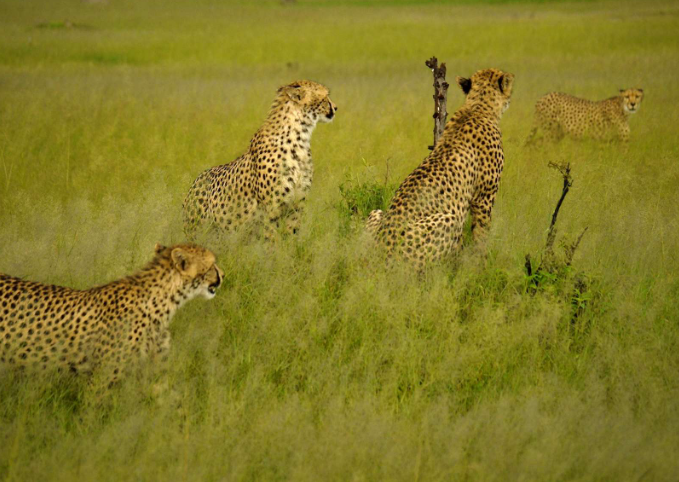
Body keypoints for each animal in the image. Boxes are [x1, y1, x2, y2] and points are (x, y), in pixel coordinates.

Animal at [183, 80, 337, 239]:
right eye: (325, 97)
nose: (335, 107)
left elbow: (291, 238)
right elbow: (272, 239)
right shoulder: (271, 210)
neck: (300, 137)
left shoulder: (296, 207)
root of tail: (196, 180)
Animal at [367, 68, 514, 269]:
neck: (478, 106)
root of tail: (379, 253)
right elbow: (482, 234)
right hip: (449, 219)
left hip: (376, 212)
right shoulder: (484, 198)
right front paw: (482, 265)